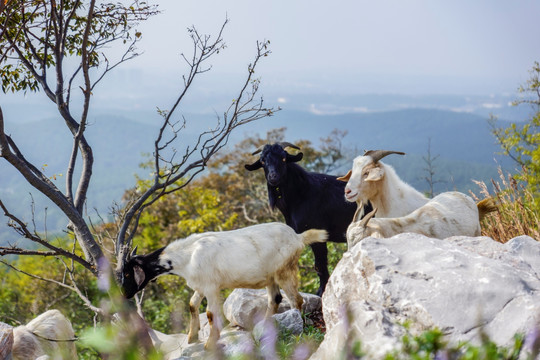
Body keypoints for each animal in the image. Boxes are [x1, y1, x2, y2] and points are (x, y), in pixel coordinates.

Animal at [120, 222, 326, 348]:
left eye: (128, 272)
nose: (124, 294)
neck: (188, 255)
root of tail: (298, 237)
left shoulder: (211, 287)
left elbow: (211, 313)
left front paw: (210, 343)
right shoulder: (200, 286)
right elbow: (192, 304)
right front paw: (192, 337)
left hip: (285, 271)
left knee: (296, 300)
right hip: (270, 278)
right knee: (275, 299)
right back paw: (266, 326)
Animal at [245, 141, 372, 296]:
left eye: (283, 158)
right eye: (263, 161)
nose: (273, 177)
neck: (301, 193)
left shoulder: (318, 235)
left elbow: (320, 265)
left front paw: (321, 292)